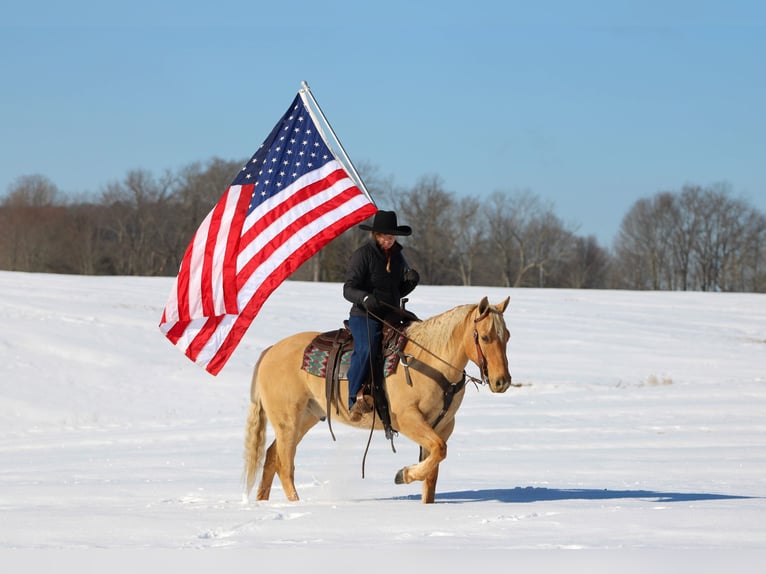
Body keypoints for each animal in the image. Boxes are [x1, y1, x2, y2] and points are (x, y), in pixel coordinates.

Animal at [242, 295, 512, 504]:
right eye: (485, 337)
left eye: (507, 336)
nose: (502, 381)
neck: (428, 360)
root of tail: (271, 351)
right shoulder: (409, 419)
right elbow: (439, 451)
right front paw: (403, 474)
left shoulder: (443, 425)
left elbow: (433, 470)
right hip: (288, 420)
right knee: (285, 465)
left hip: (305, 417)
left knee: (272, 456)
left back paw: (263, 502)